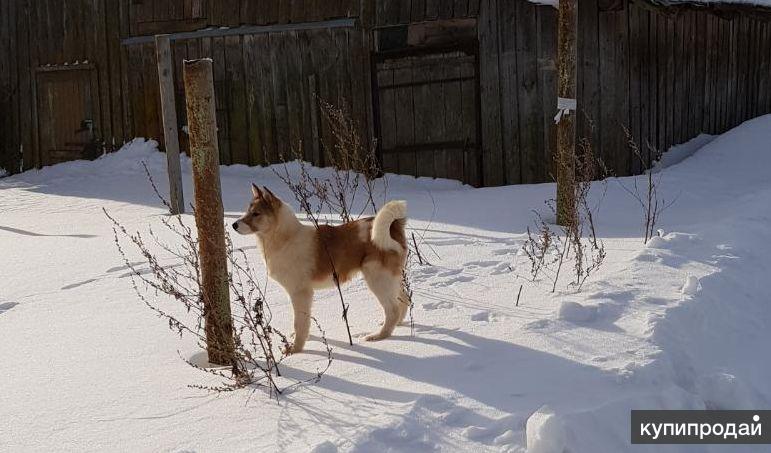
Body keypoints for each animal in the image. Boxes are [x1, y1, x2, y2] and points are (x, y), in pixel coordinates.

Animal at [234, 184, 410, 354]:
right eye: (247, 211)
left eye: (256, 214)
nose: (233, 225)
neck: (285, 237)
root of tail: (393, 226)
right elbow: (304, 321)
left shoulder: (300, 293)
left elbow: (300, 323)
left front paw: (295, 349)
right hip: (391, 278)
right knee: (404, 299)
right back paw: (397, 325)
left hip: (377, 278)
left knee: (393, 309)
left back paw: (379, 336)